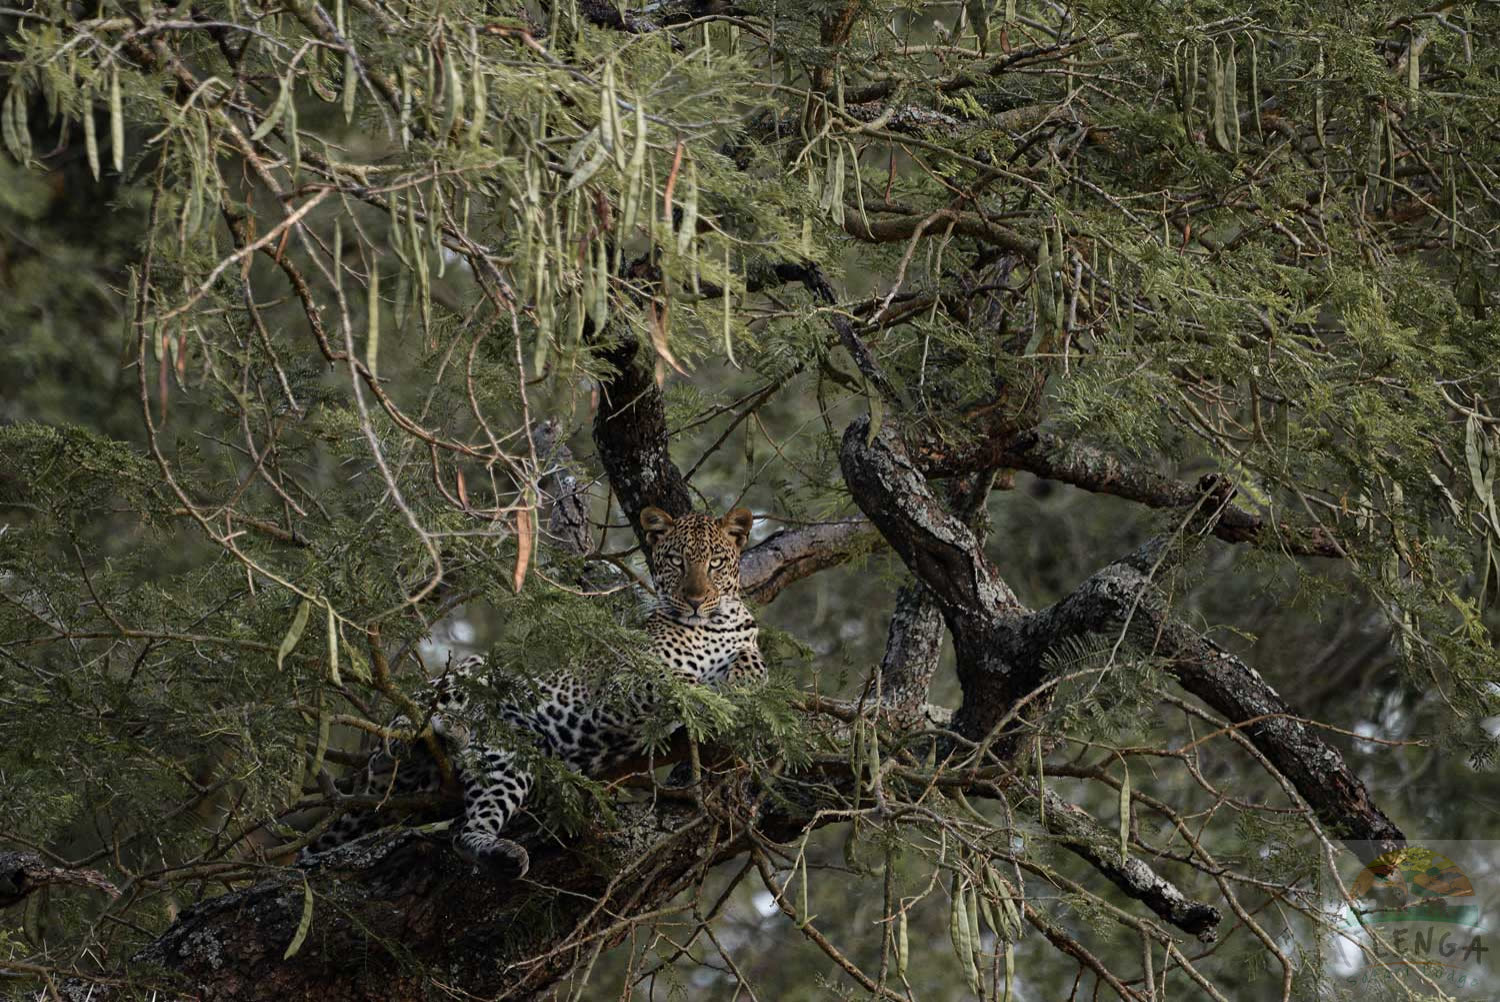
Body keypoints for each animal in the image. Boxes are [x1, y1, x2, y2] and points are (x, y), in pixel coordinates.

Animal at [301, 506, 765, 874]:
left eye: (716, 563)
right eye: (675, 561)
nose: (695, 599)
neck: (713, 626)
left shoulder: (744, 642)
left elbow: (752, 666)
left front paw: (737, 685)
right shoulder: (621, 683)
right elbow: (674, 682)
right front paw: (703, 696)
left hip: (509, 763)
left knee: (465, 832)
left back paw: (498, 847)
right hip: (467, 676)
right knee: (395, 739)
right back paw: (431, 730)